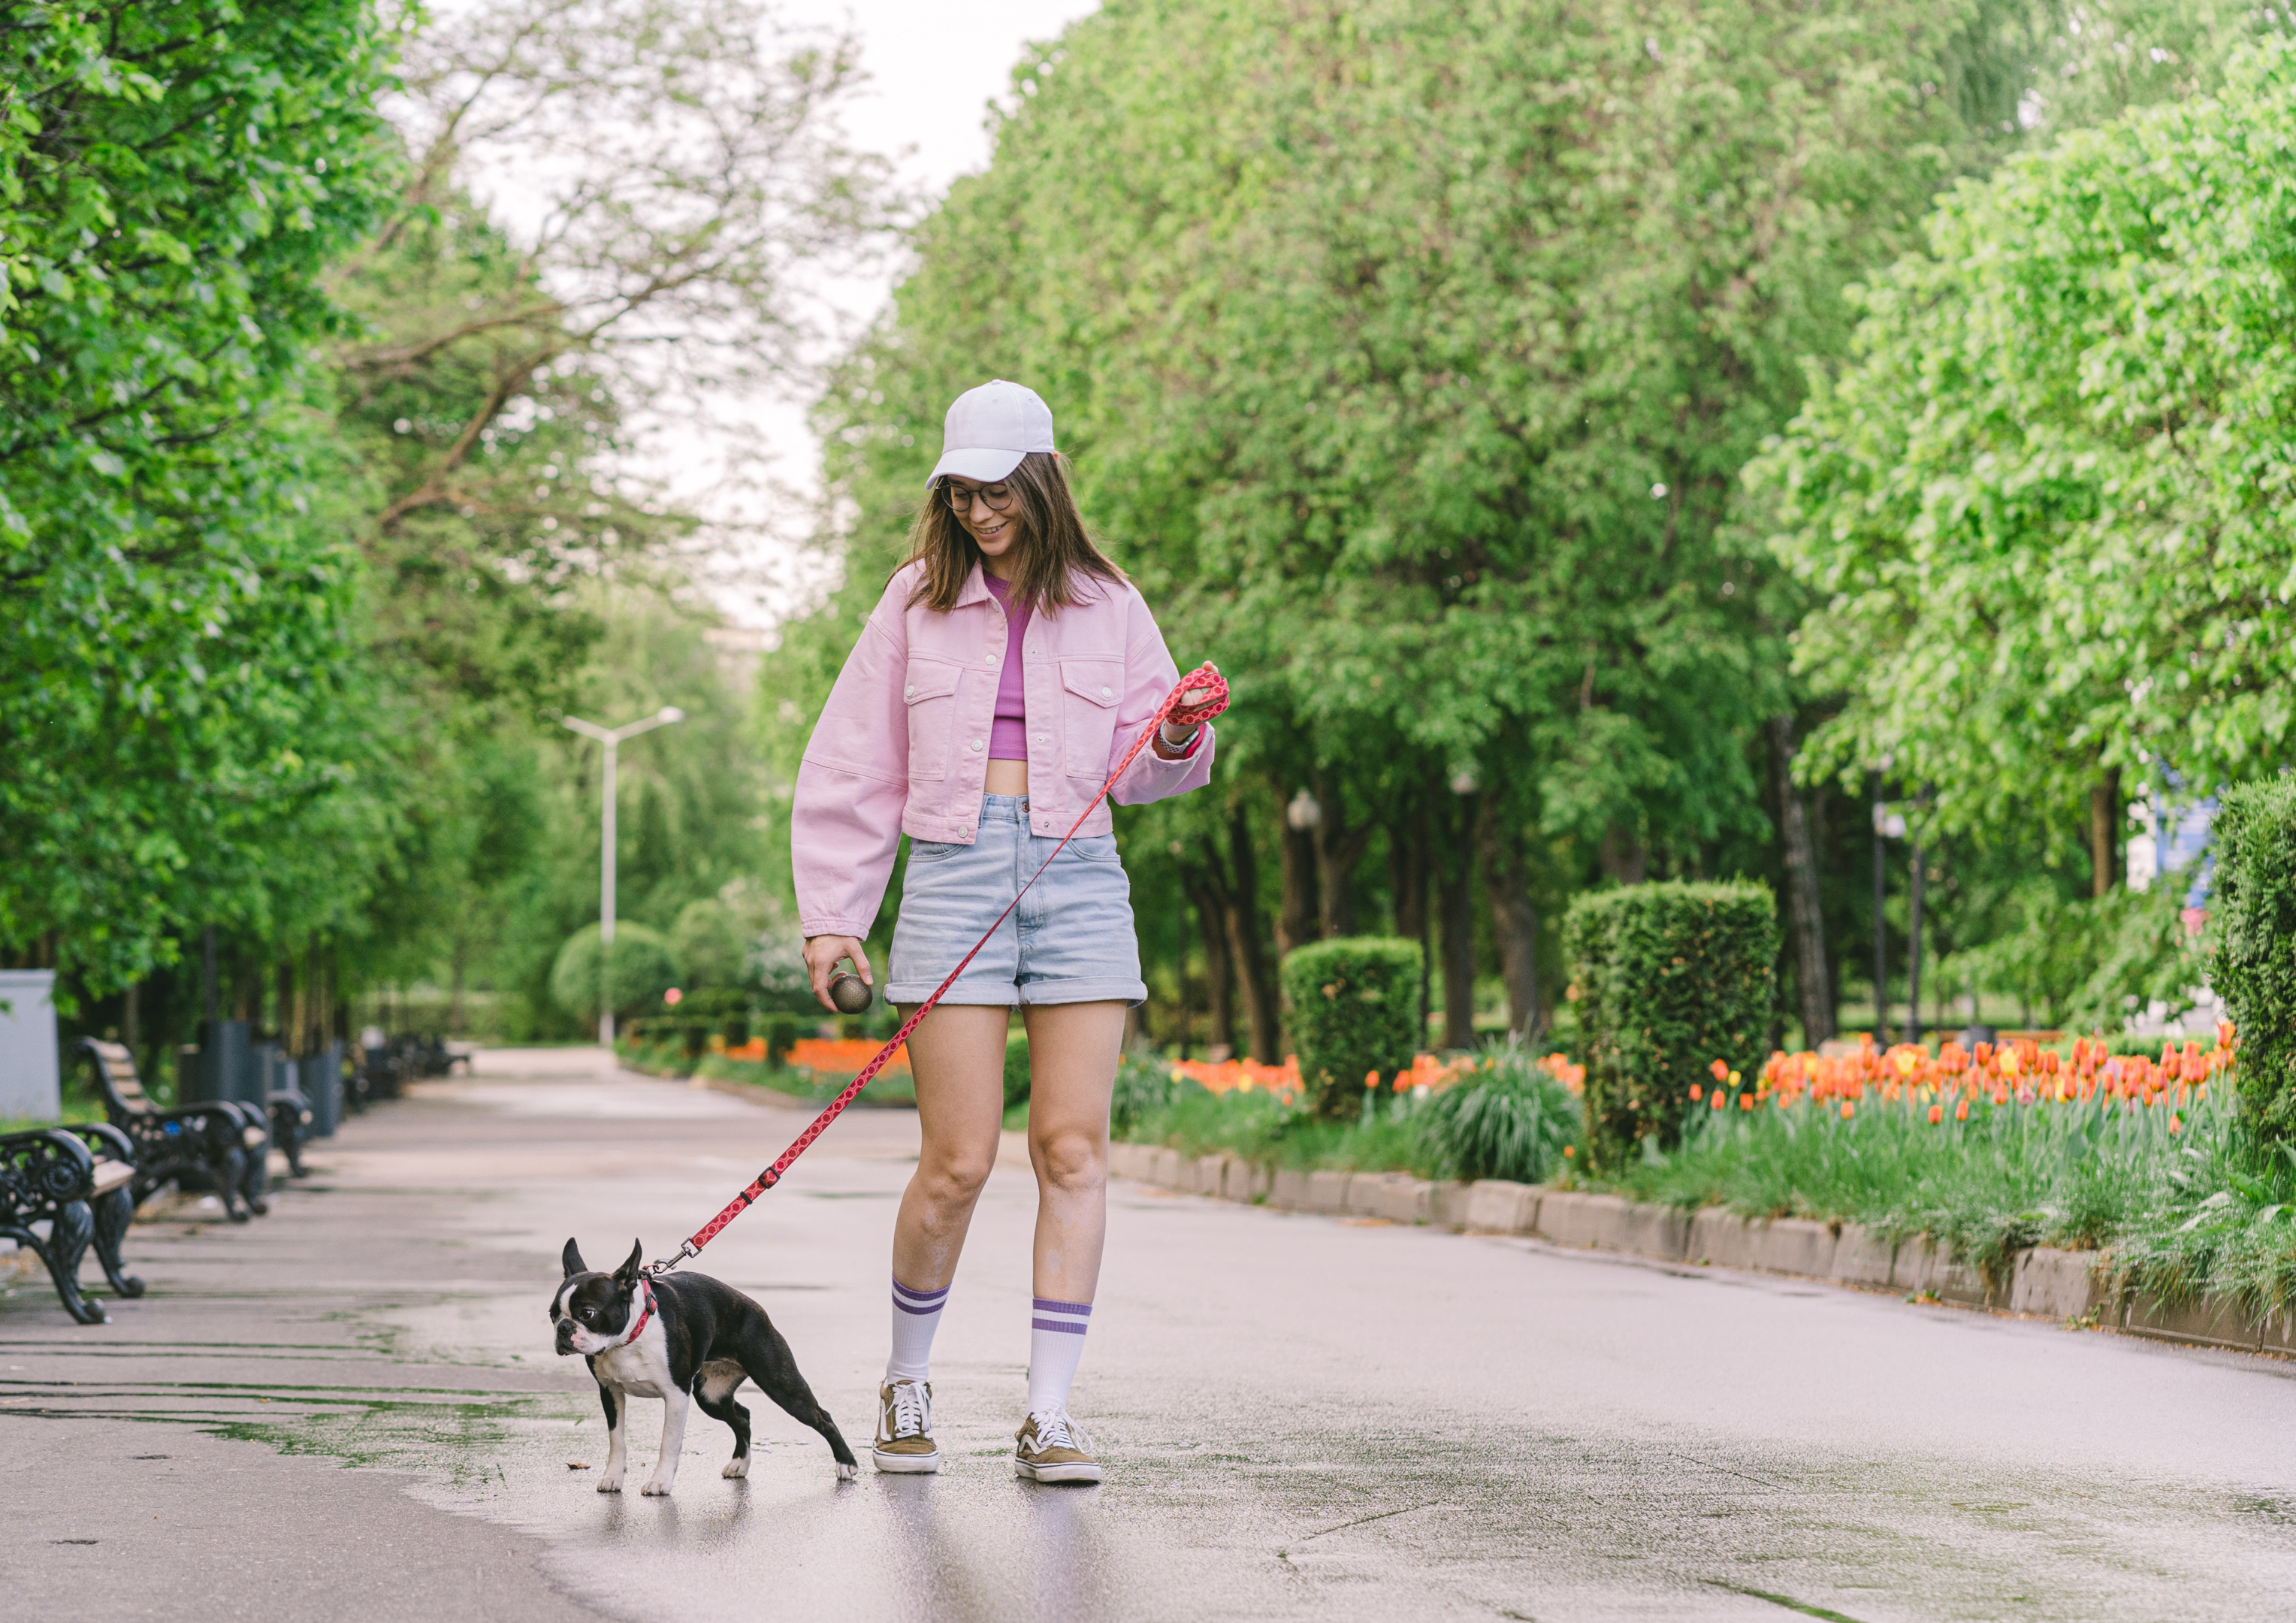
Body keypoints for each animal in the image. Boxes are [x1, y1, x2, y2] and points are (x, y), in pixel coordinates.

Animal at [551, 1249, 858, 1496]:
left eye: (588, 1313)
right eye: (553, 1315)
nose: (563, 1328)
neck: (629, 1338)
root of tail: (756, 1308)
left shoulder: (676, 1395)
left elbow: (668, 1443)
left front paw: (660, 1482)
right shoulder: (610, 1392)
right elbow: (617, 1440)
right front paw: (613, 1478)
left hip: (780, 1384)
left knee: (822, 1417)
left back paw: (846, 1464)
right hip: (711, 1395)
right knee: (742, 1416)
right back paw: (739, 1464)